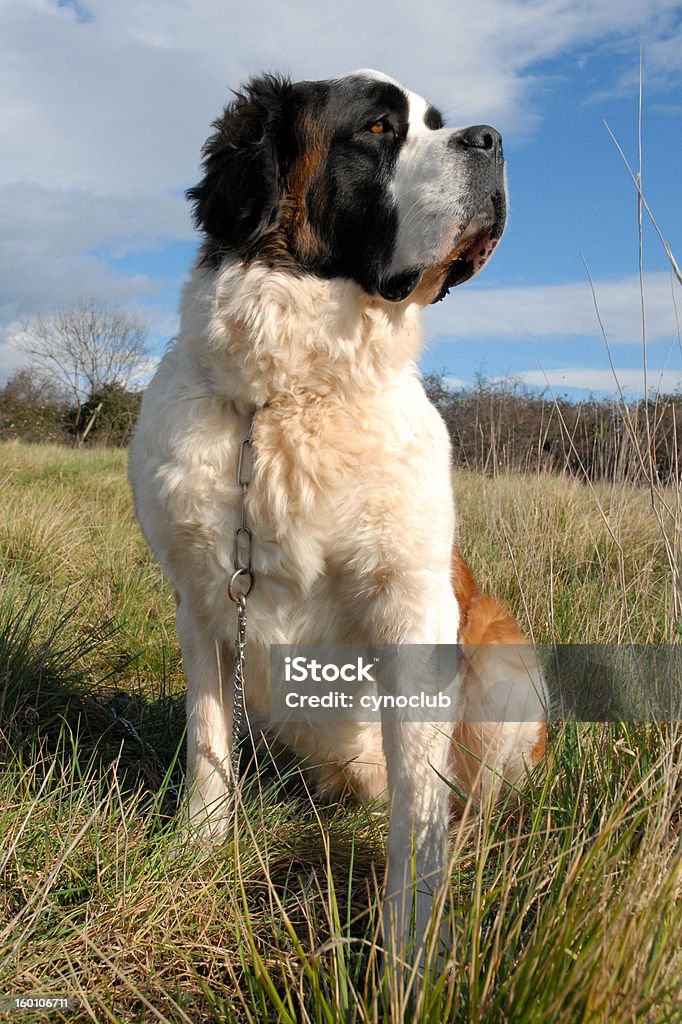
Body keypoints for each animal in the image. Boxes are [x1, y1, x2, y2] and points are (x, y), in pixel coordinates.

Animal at [129, 70, 548, 958]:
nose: (491, 139)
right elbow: (207, 743)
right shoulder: (203, 608)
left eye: (438, 122)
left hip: (506, 666)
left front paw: (410, 945)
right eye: (380, 128)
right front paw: (197, 851)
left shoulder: (414, 604)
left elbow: (420, 811)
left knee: (469, 795)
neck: (292, 395)